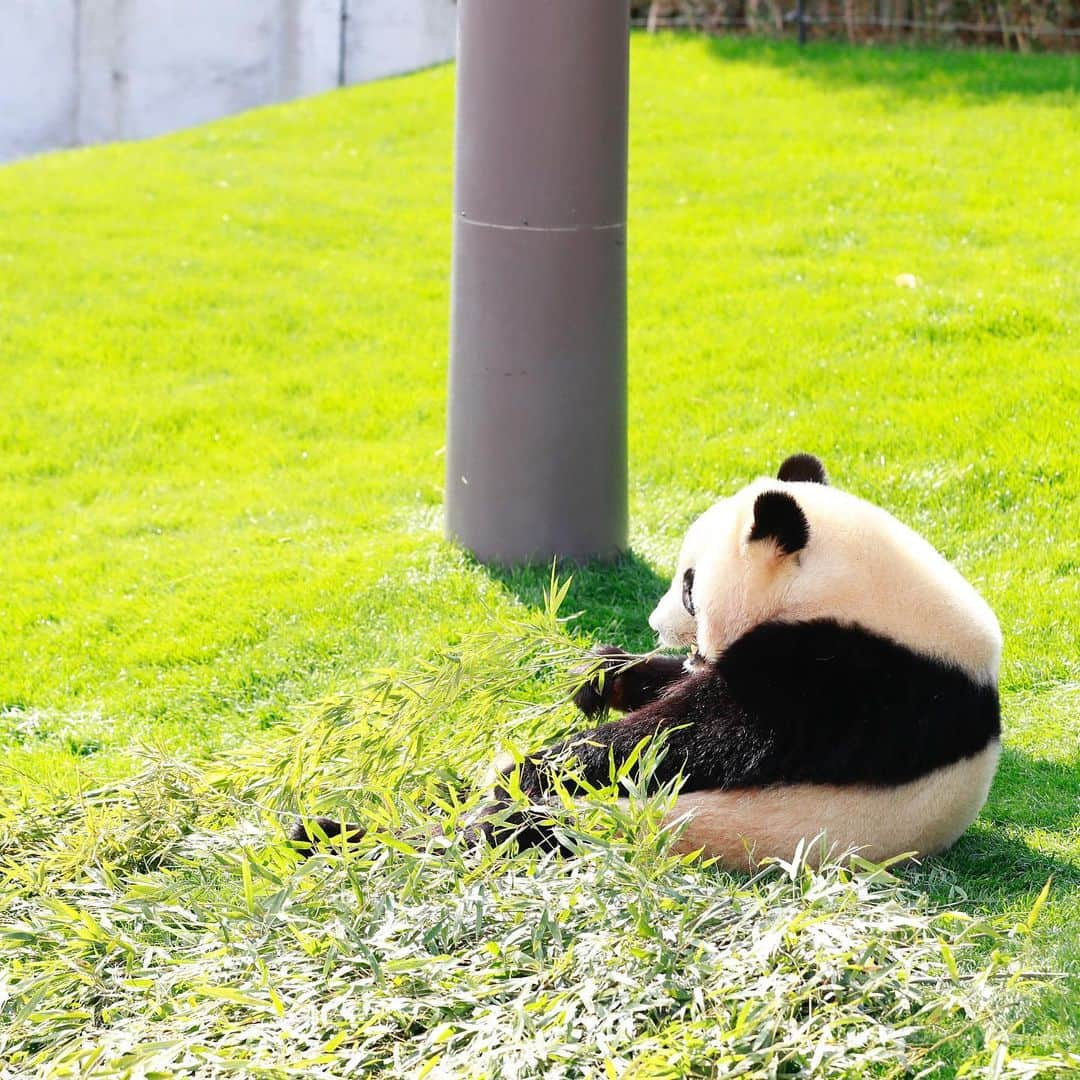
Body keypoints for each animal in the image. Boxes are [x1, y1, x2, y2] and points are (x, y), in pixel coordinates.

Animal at [477, 451, 997, 872]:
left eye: (689, 589)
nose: (654, 624)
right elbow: (678, 690)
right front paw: (601, 673)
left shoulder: (852, 678)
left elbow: (695, 735)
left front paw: (525, 770)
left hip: (663, 825)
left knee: (558, 828)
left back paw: (492, 822)